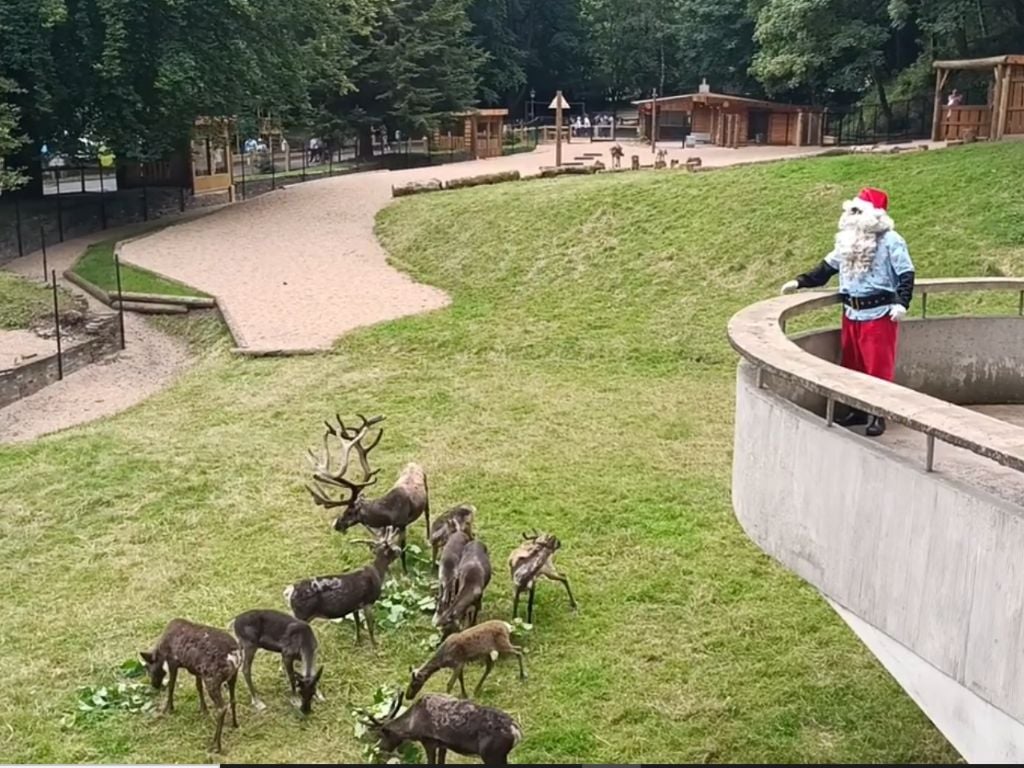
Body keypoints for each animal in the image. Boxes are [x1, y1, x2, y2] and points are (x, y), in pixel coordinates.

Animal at [140, 618, 239, 753]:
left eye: (147, 667)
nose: (154, 685)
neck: (162, 650)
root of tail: (234, 656)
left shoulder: (173, 661)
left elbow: (171, 685)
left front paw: (168, 709)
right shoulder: (197, 670)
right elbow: (198, 686)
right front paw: (203, 709)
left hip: (212, 678)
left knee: (222, 707)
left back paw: (216, 745)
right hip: (232, 676)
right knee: (233, 700)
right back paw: (235, 724)